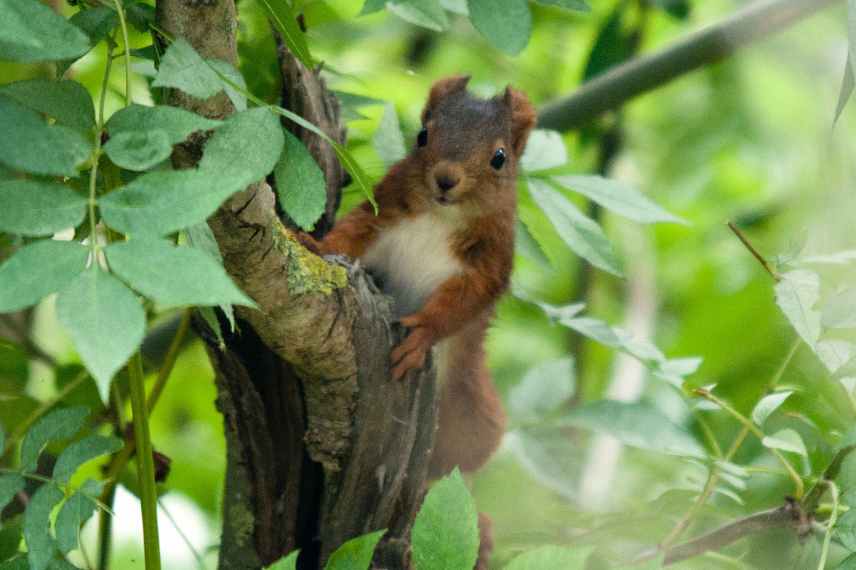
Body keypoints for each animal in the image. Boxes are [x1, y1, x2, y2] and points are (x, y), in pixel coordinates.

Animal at [300, 75, 528, 482]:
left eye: (499, 157)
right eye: (422, 135)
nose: (446, 179)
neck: (442, 217)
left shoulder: (488, 264)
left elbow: (463, 303)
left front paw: (421, 334)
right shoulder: (383, 212)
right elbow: (350, 237)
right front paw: (317, 245)